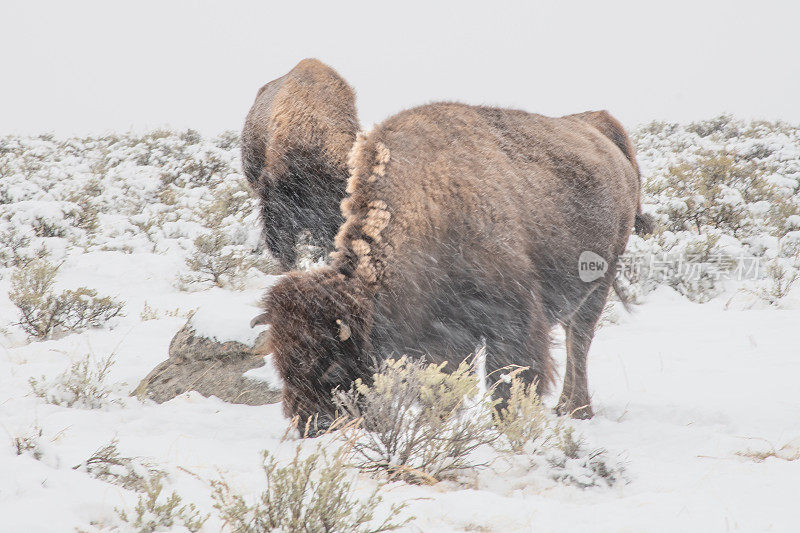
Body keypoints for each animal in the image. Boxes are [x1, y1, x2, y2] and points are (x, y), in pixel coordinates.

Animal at [256, 102, 648, 426]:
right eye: (283, 367)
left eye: (332, 369)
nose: (310, 426)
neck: (430, 207)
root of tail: (604, 136)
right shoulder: (442, 334)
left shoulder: (512, 318)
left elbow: (507, 380)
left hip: (602, 276)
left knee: (578, 339)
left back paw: (577, 409)